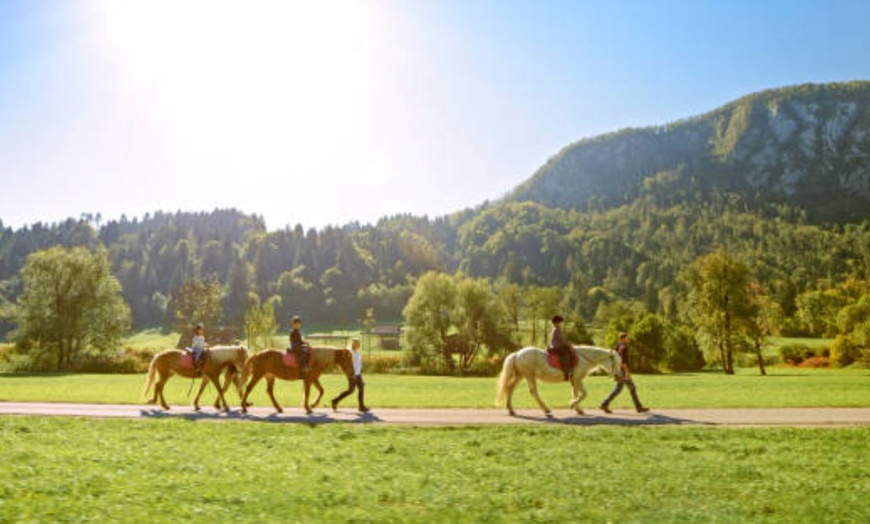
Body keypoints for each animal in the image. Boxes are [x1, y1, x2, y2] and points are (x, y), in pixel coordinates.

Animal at [494, 346, 624, 416]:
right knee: (533, 391)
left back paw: (511, 410)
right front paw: (572, 405)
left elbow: (576, 393)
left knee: (511, 388)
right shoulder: (577, 379)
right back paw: (546, 409)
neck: (583, 358)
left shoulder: (574, 381)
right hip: (529, 375)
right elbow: (584, 394)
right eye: (616, 362)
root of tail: (517, 354)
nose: (619, 376)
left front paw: (578, 409)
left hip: (520, 375)